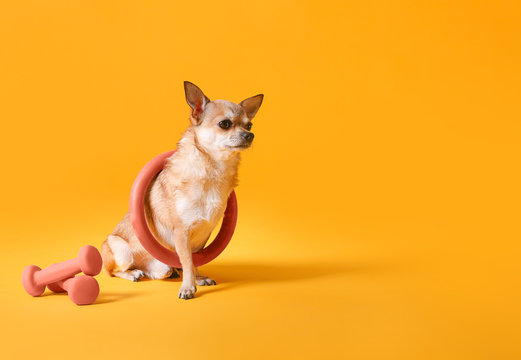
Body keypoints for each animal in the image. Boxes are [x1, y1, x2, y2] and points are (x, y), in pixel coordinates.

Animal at [100, 81, 264, 298]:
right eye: (225, 124)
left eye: (249, 125)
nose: (250, 135)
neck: (213, 171)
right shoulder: (181, 231)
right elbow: (187, 261)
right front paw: (188, 286)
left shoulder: (202, 235)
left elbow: (195, 260)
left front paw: (198, 278)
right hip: (121, 250)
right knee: (114, 271)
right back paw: (133, 273)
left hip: (160, 267)